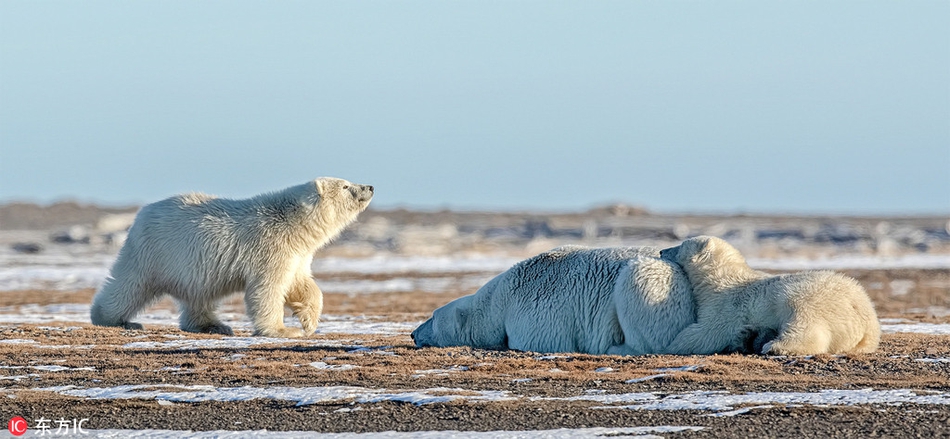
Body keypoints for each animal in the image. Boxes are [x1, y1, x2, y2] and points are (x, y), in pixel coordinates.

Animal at [89, 177, 372, 338]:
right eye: (346, 185)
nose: (369, 186)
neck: (292, 224)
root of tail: (142, 213)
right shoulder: (269, 247)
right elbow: (267, 289)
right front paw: (283, 330)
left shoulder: (297, 253)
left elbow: (303, 284)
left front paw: (309, 322)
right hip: (154, 252)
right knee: (129, 286)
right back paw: (114, 320)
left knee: (199, 297)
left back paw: (214, 325)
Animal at [664, 235, 880, 356]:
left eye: (679, 245)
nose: (662, 250)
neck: (718, 281)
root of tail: (867, 322)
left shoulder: (726, 306)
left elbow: (706, 332)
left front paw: (674, 344)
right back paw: (752, 339)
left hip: (809, 297)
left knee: (805, 324)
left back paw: (774, 346)